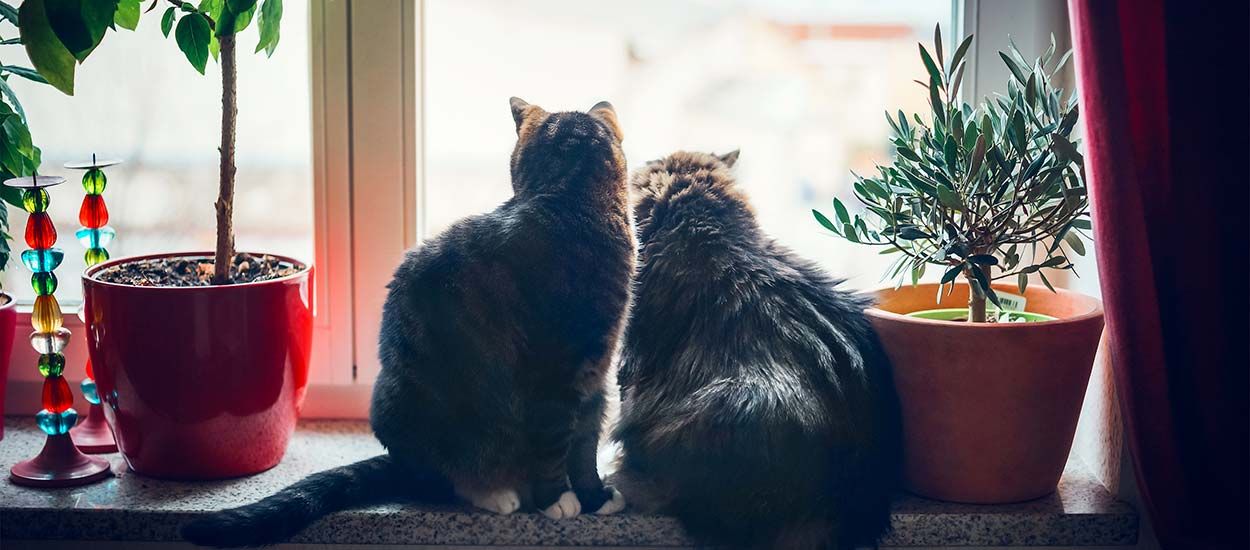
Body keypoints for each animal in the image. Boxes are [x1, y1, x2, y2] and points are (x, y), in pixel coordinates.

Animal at [178, 97, 635, 545]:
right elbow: (554, 444)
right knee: (446, 478)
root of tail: (400, 460)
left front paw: (594, 496)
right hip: (408, 408)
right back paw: (496, 492)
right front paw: (557, 499)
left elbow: (584, 445)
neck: (570, 199)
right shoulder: (553, 377)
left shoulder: (594, 377)